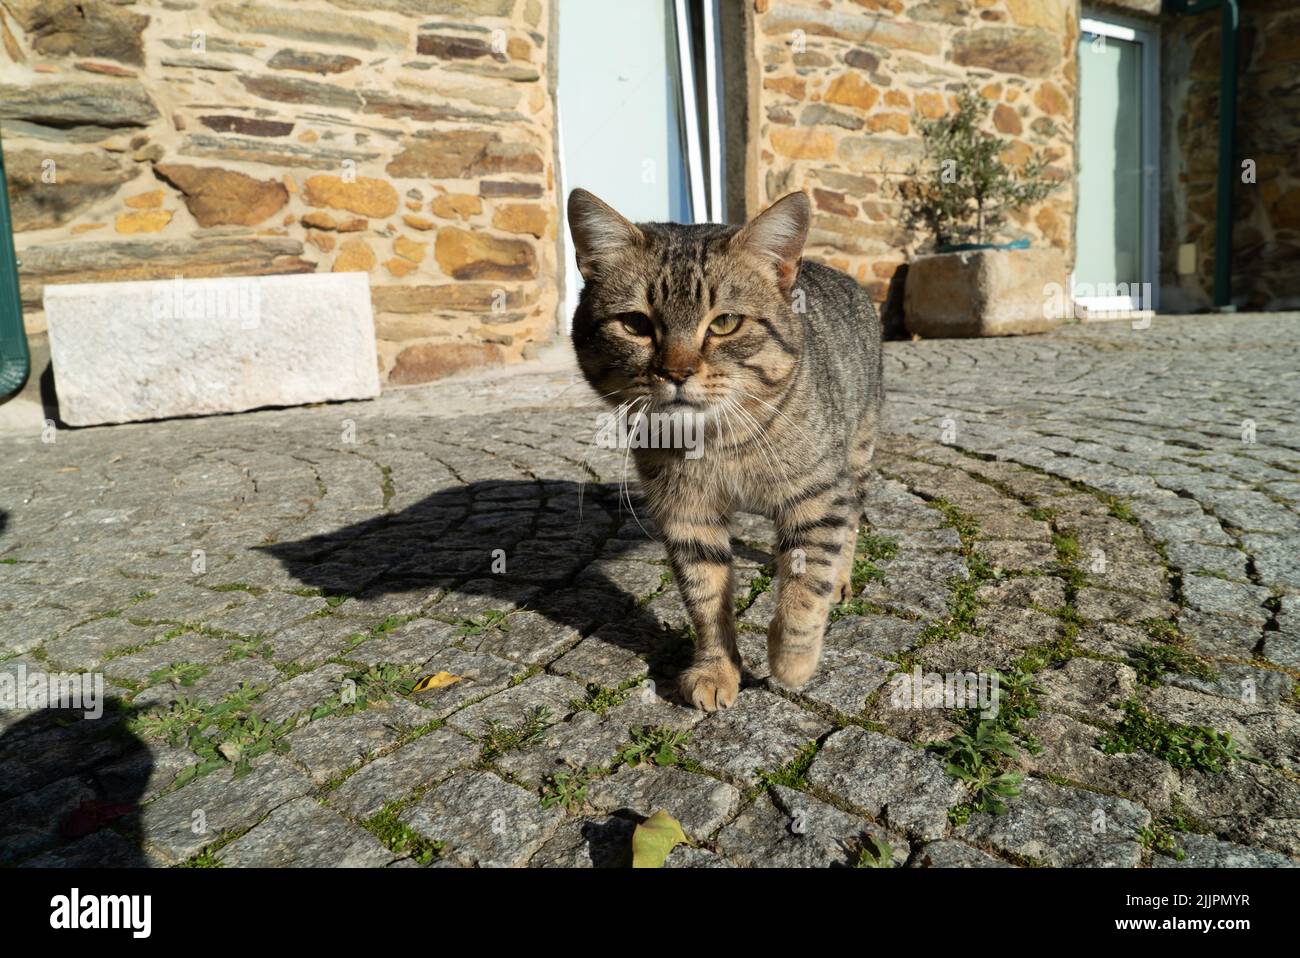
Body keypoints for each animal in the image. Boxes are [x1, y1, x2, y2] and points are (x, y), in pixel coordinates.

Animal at [569, 188, 883, 712]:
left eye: (726, 323)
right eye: (635, 323)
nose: (676, 372)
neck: (718, 444)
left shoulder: (818, 495)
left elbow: (805, 588)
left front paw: (791, 662)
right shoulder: (686, 514)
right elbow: (706, 597)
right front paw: (716, 669)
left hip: (857, 451)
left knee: (853, 517)